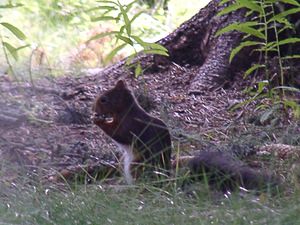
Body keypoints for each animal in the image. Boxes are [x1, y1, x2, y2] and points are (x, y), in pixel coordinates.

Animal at [92, 80, 280, 191]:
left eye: (104, 99)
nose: (93, 109)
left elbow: (119, 134)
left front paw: (98, 121)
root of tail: (164, 180)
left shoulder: (131, 126)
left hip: (137, 165)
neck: (126, 111)